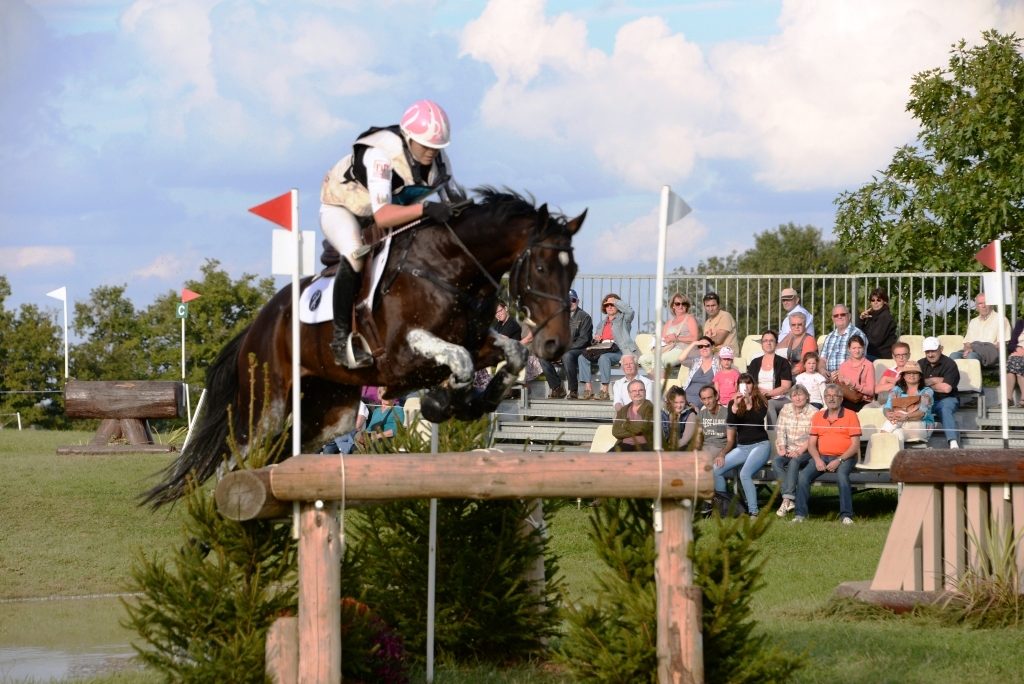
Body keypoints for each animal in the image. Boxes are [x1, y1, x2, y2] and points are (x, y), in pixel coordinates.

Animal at [144, 189, 585, 505]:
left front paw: (476, 400)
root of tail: (254, 328)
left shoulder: (476, 341)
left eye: (574, 270)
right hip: (266, 404)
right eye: (541, 267)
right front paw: (442, 403)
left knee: (278, 452)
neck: (449, 268)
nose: (556, 343)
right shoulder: (402, 355)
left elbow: (512, 352)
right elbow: (457, 360)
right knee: (235, 459)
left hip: (329, 414)